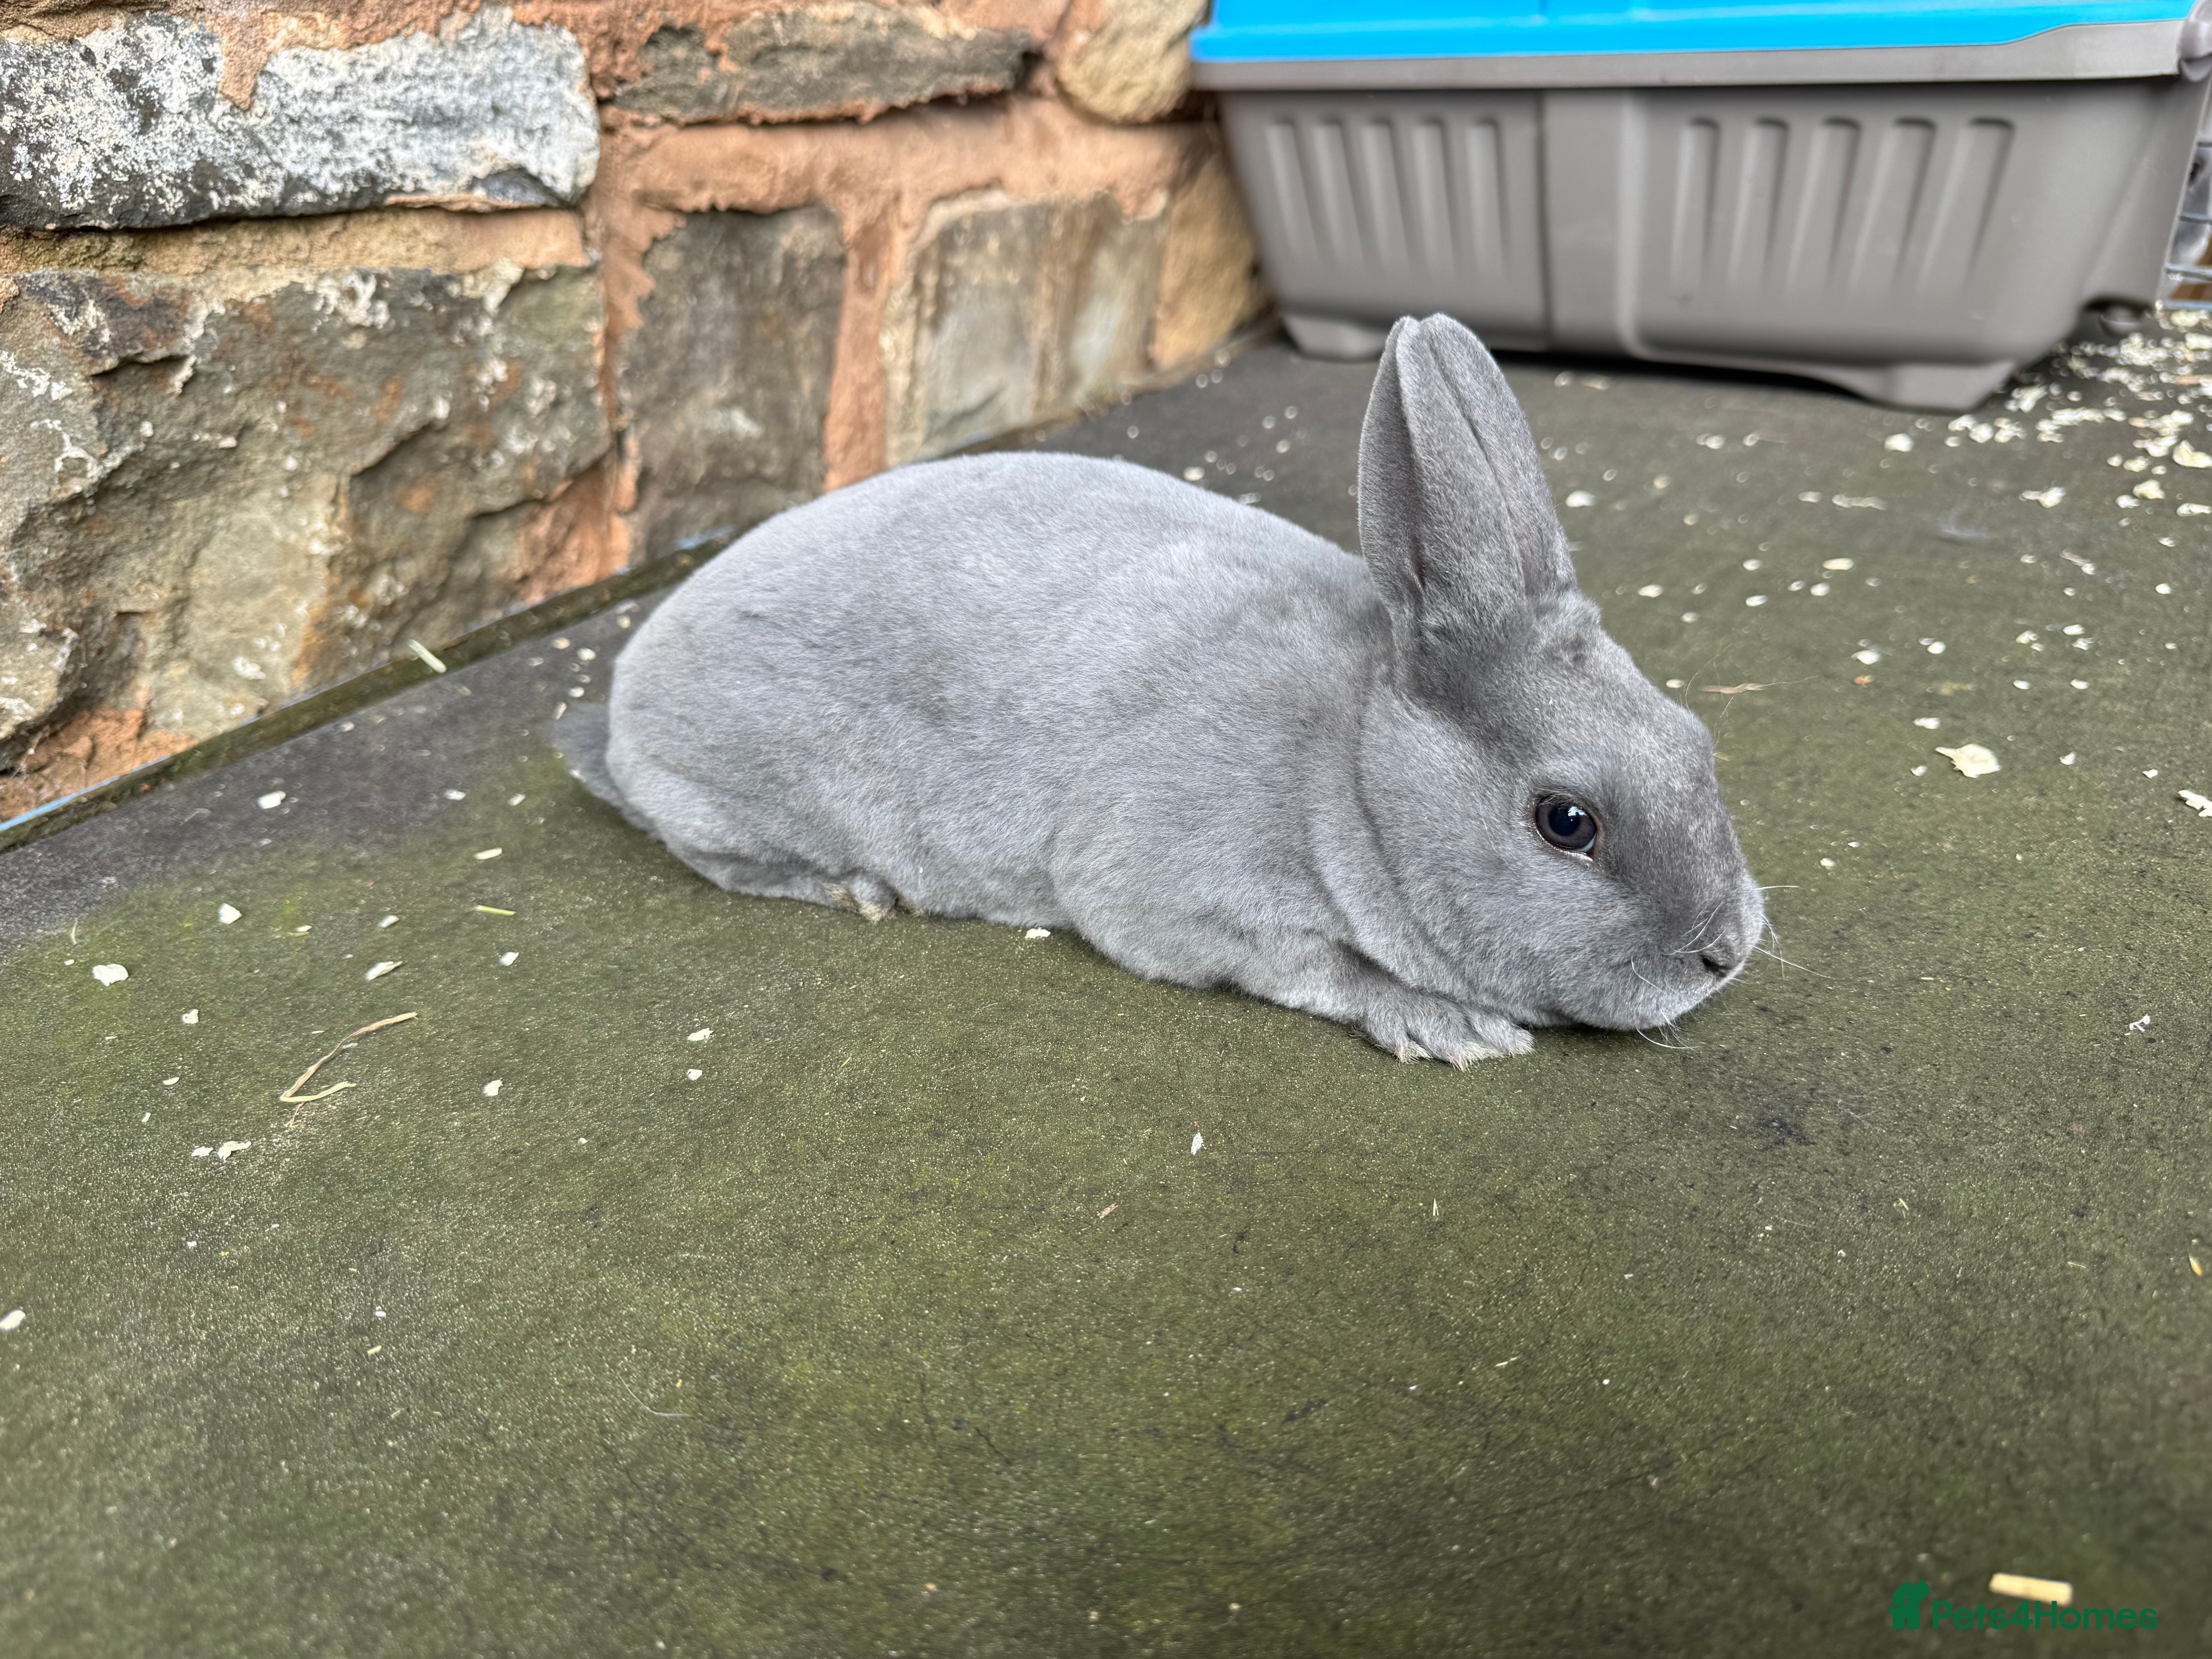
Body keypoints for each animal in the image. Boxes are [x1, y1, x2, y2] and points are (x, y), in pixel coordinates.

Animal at [558, 314, 1765, 1063]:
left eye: (1696, 740)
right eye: (1567, 822)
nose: (1727, 952)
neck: (1346, 770)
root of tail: (619, 707)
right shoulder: (1173, 893)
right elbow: (1318, 965)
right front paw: (1451, 1029)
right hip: (731, 792)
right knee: (722, 856)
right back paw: (858, 890)